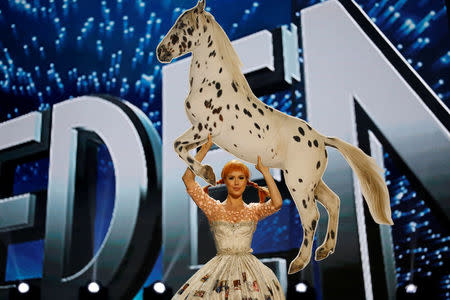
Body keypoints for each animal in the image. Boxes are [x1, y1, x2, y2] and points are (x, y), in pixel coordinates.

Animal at [157, 0, 394, 276]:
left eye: (182, 25)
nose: (161, 52)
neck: (213, 83)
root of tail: (321, 138)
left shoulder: (204, 128)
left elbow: (177, 145)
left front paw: (208, 174)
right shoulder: (200, 132)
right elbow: (182, 148)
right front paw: (208, 172)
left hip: (298, 184)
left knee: (311, 216)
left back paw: (299, 262)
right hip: (312, 182)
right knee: (333, 202)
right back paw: (324, 250)